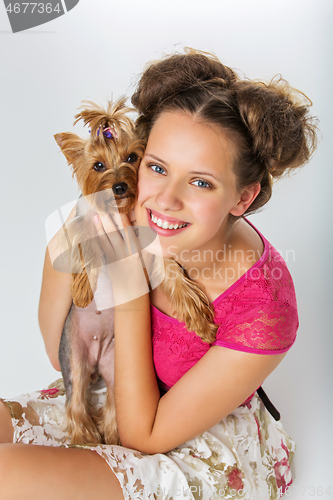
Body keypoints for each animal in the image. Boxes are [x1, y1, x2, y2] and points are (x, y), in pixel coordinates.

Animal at [53, 97, 217, 446]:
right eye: (98, 165)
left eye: (131, 157)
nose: (119, 186)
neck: (122, 213)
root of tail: (97, 357)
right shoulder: (84, 219)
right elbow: (84, 244)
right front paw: (84, 290)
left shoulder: (153, 241)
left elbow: (172, 272)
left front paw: (198, 319)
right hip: (73, 354)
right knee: (76, 398)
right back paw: (86, 437)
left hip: (118, 363)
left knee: (117, 403)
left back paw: (111, 436)